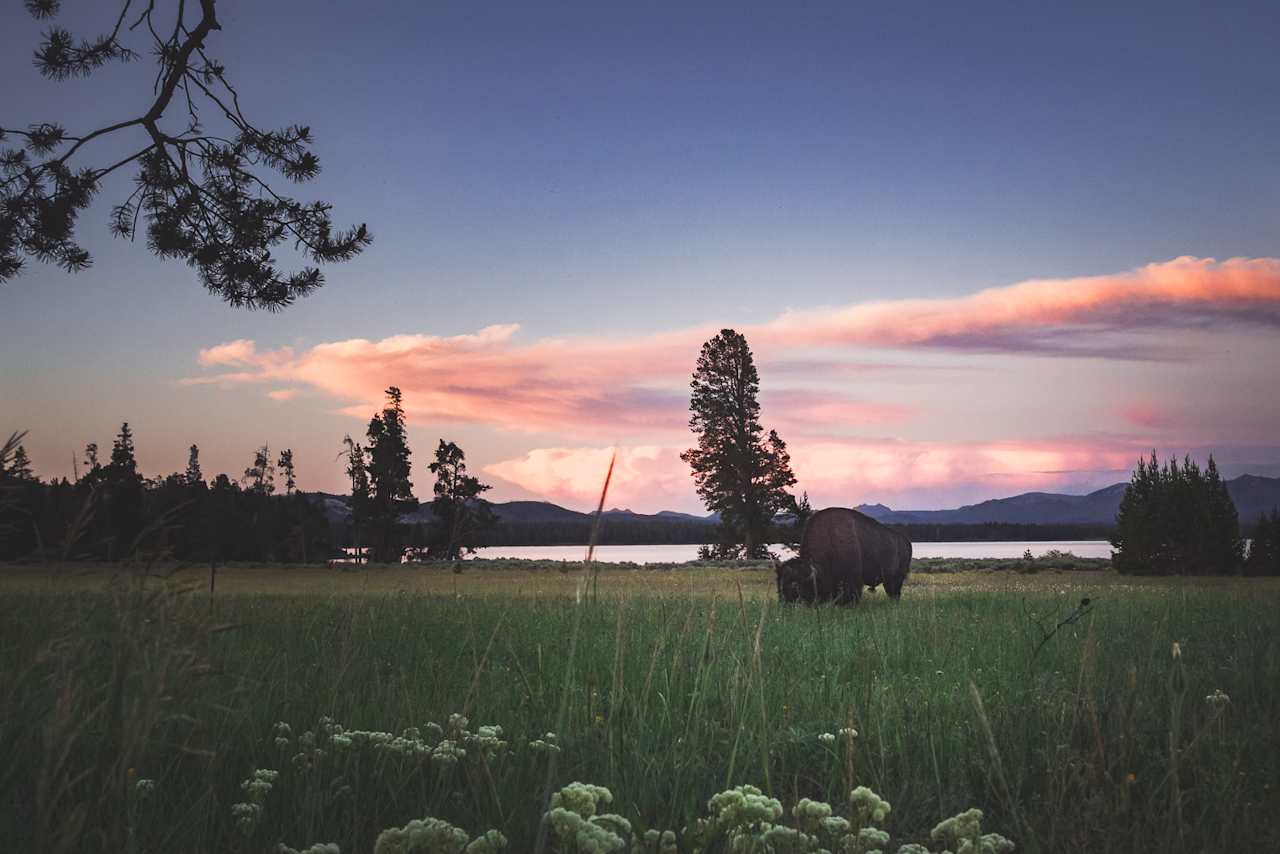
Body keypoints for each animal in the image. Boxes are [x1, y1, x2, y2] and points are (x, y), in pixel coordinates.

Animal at [773, 507, 916, 606]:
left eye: (795, 586)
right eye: (778, 585)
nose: (784, 604)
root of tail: (905, 540)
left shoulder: (852, 578)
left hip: (895, 578)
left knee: (894, 592)